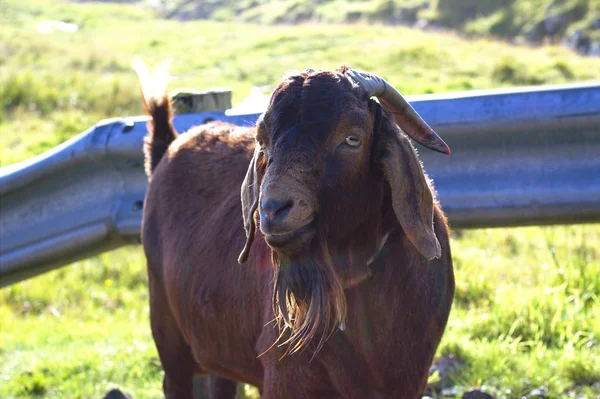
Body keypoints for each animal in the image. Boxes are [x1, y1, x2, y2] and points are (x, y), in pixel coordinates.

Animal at [136, 60, 454, 399]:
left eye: (352, 139)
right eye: (262, 141)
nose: (273, 209)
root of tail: (168, 147)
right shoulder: (286, 379)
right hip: (168, 335)